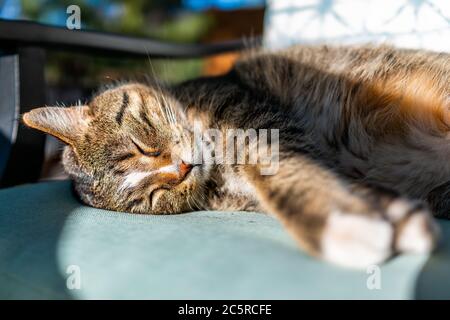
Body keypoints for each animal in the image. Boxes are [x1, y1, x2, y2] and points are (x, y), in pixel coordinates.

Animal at [22, 44, 448, 268]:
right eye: (151, 197)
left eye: (142, 146)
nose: (181, 168)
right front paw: (389, 217)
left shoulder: (258, 123)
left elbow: (282, 173)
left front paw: (338, 223)